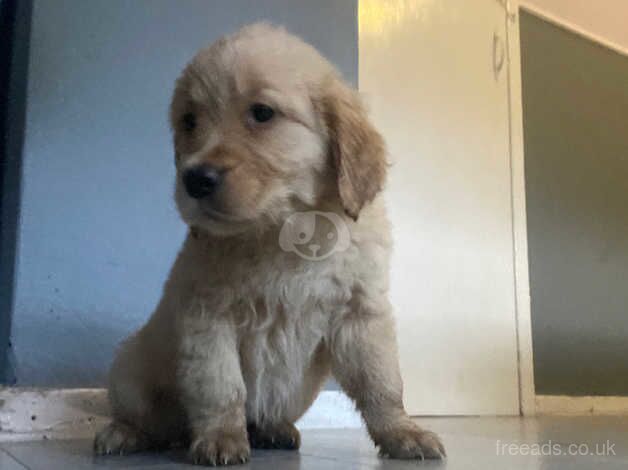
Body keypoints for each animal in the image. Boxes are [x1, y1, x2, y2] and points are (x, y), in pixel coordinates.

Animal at [95, 23, 444, 466]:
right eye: (189, 121)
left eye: (262, 113)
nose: (194, 179)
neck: (284, 229)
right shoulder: (206, 318)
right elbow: (221, 387)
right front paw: (220, 438)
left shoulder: (360, 312)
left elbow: (382, 382)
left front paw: (403, 433)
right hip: (128, 368)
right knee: (150, 420)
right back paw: (126, 433)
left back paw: (272, 430)